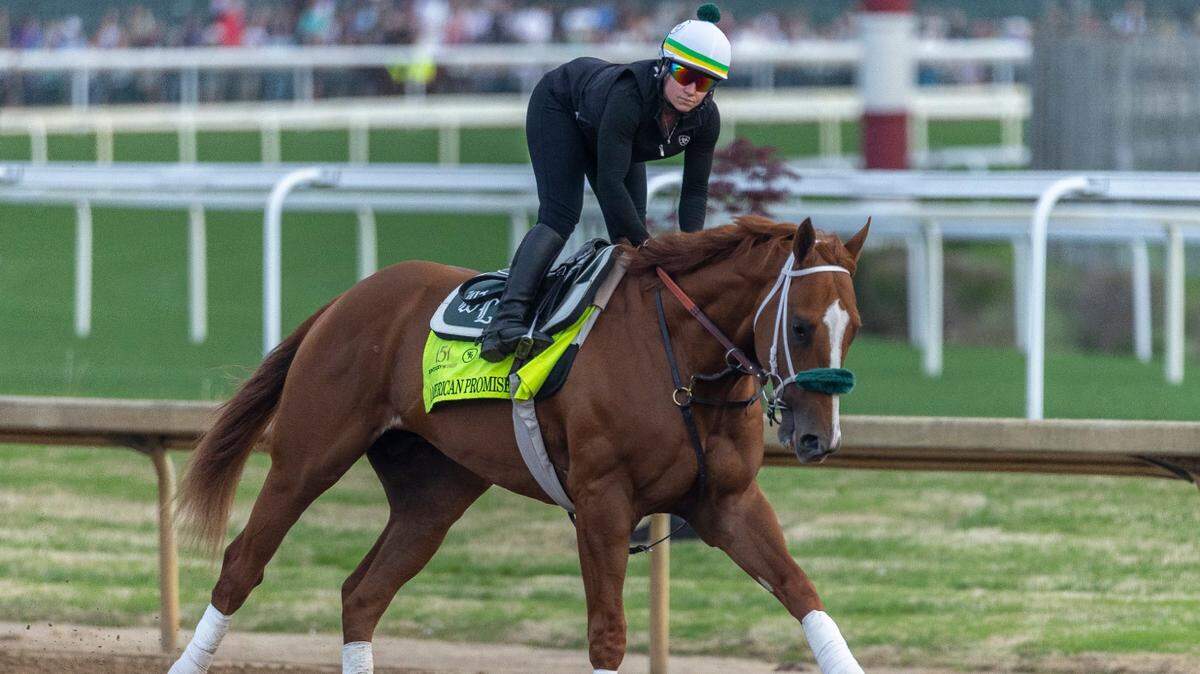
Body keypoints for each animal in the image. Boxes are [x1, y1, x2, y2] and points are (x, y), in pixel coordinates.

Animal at [168, 214, 870, 674]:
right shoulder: (603, 502)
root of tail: (346, 298)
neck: (683, 364)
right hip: (307, 458)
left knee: (362, 594)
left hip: (433, 495)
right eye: (800, 325)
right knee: (241, 566)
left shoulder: (728, 504)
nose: (819, 437)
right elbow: (607, 636)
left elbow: (806, 596)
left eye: (856, 327)